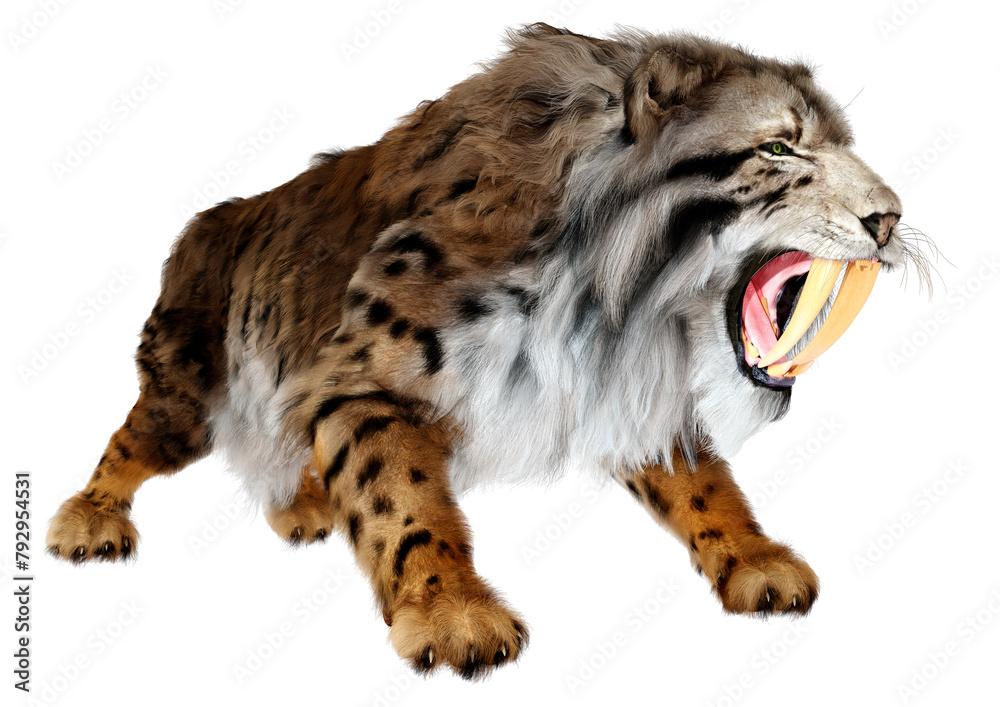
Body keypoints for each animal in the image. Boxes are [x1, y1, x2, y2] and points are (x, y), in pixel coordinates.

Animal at [47, 23, 929, 678]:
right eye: (780, 149)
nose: (891, 218)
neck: (614, 304)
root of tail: (212, 215)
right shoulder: (358, 380)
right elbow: (402, 500)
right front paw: (451, 614)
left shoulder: (626, 387)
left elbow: (705, 485)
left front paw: (755, 559)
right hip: (184, 398)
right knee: (128, 439)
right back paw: (87, 520)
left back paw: (303, 505)